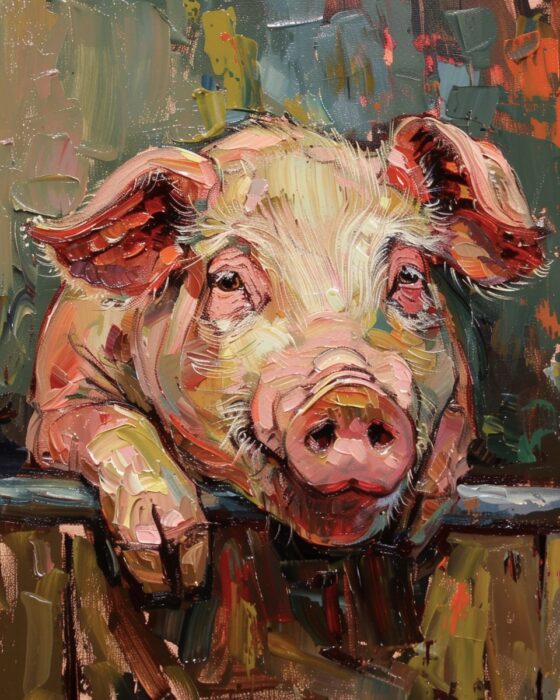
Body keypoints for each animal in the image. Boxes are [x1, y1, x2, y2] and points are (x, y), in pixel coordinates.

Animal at [26, 115, 545, 591]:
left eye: (410, 276)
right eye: (227, 281)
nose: (351, 394)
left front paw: (415, 524)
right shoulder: (56, 398)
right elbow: (103, 420)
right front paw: (173, 566)